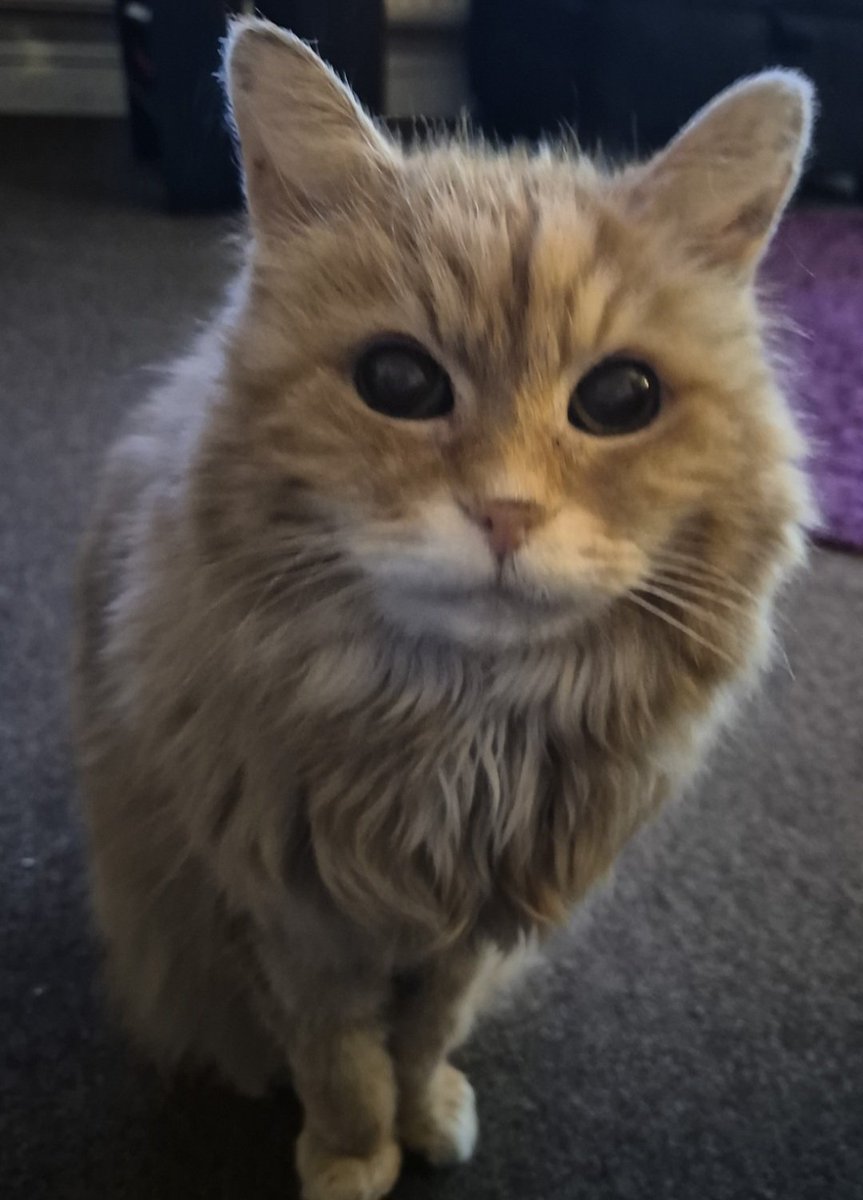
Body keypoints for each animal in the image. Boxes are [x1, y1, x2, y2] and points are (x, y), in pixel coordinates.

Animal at [72, 18, 816, 1200]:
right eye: (398, 382)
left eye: (619, 399)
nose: (504, 512)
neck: (463, 741)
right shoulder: (293, 925)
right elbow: (338, 1062)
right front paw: (349, 1157)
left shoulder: (469, 936)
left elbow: (420, 1044)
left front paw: (422, 1120)